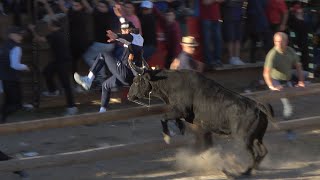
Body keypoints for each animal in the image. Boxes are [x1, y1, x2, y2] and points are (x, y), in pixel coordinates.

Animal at [127, 69, 276, 176]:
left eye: (136, 81)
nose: (128, 96)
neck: (171, 83)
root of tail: (257, 106)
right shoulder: (180, 112)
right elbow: (172, 118)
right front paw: (180, 128)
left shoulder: (182, 111)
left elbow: (163, 117)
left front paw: (167, 137)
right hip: (257, 138)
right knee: (262, 152)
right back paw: (250, 170)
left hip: (244, 139)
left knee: (254, 154)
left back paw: (241, 172)